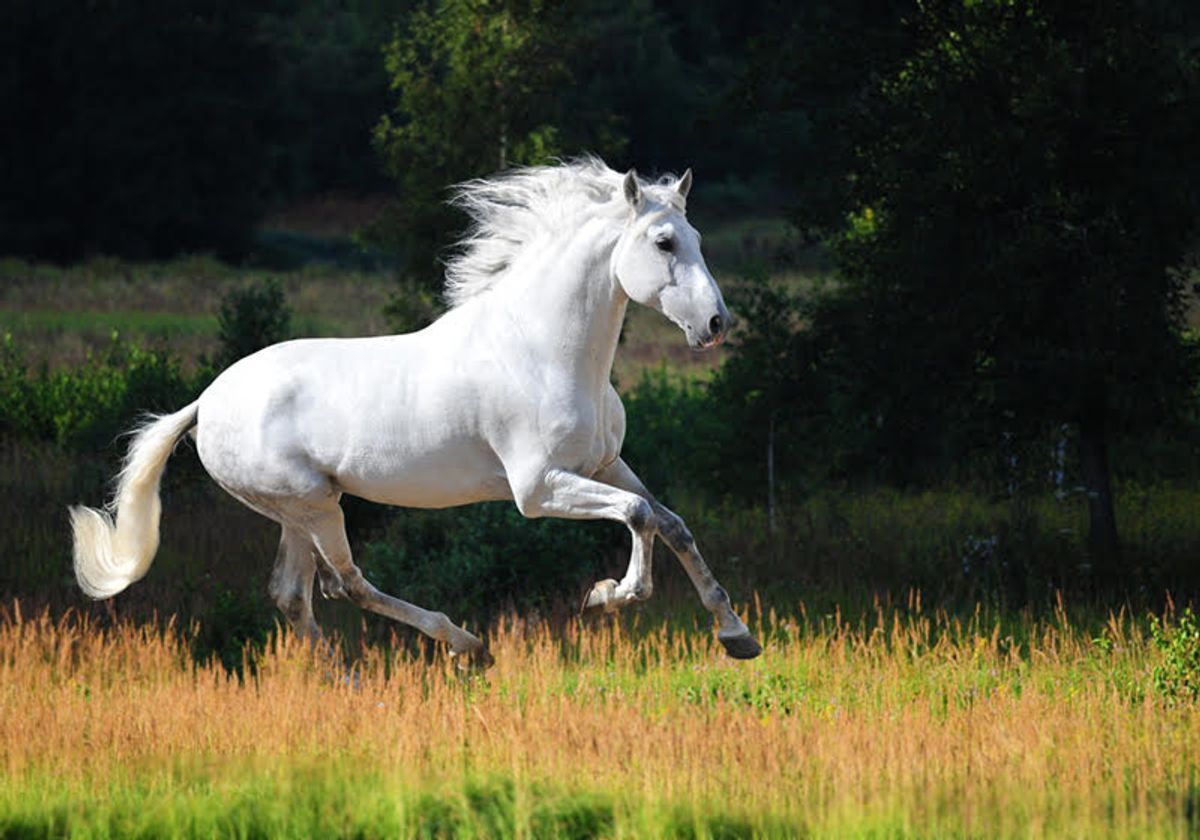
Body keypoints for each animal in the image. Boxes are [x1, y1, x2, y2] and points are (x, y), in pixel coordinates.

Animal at [69, 157, 762, 666]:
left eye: (697, 238)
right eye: (664, 242)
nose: (715, 324)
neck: (545, 349)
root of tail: (207, 402)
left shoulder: (605, 464)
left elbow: (671, 523)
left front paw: (737, 636)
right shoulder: (537, 489)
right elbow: (639, 517)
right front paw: (608, 596)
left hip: (297, 510)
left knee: (294, 596)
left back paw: (349, 684)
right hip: (312, 505)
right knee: (344, 583)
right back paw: (467, 647)